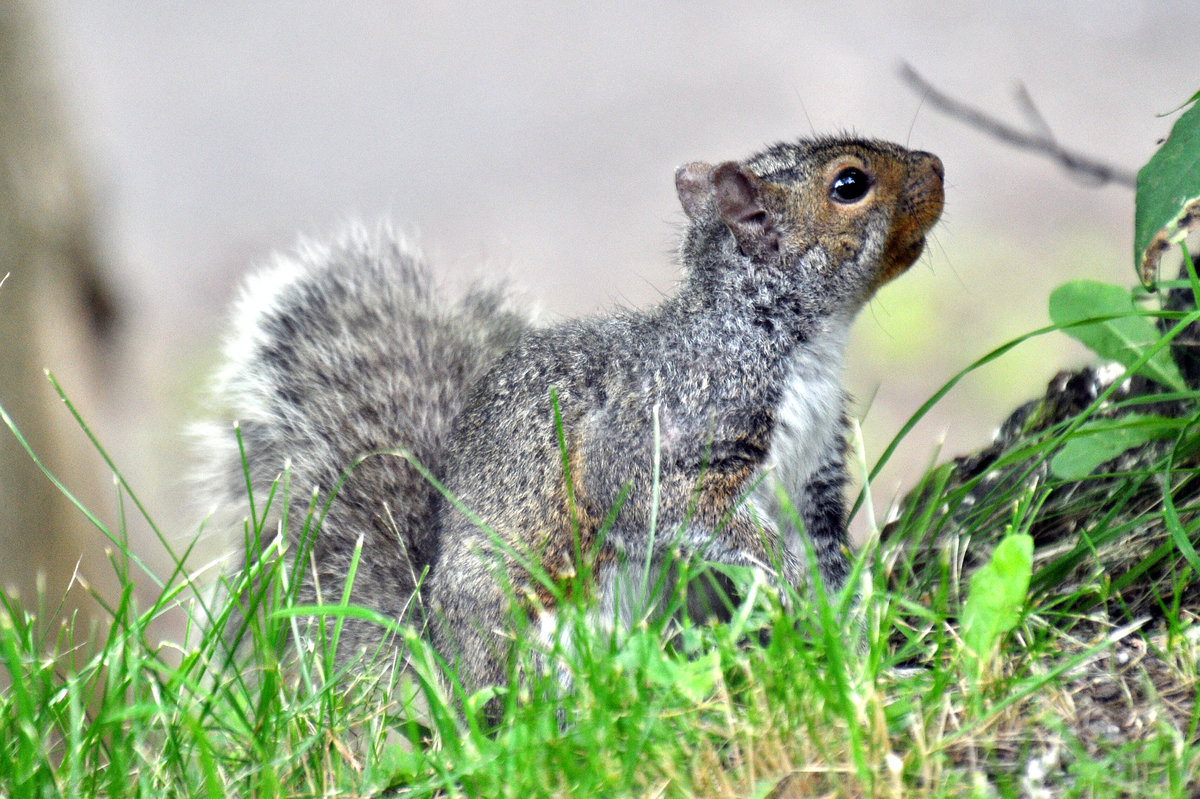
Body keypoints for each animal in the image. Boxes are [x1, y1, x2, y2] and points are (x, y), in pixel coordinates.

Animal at [199, 136, 945, 695]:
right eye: (849, 184)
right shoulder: (671, 430)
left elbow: (827, 556)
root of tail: (448, 671)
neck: (798, 344)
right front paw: (784, 573)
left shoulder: (815, 477)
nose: (938, 166)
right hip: (538, 639)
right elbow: (672, 505)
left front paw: (855, 628)